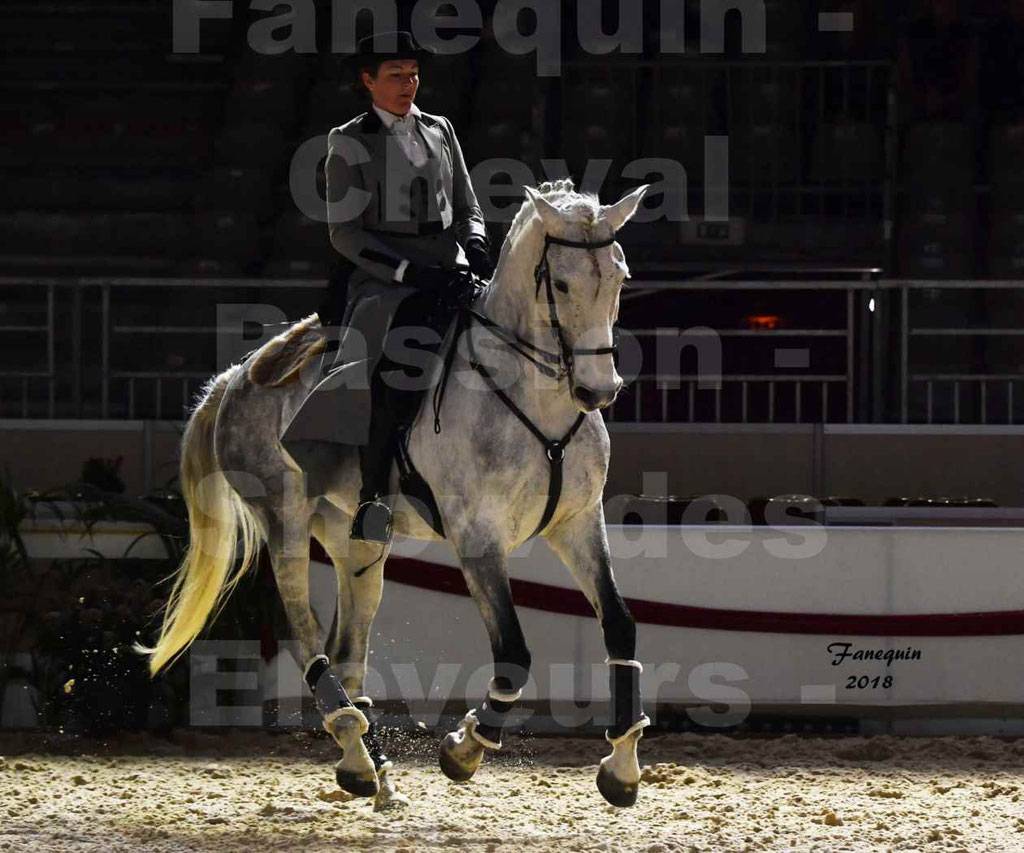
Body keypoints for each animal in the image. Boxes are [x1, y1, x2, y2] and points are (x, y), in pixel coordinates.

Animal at [137, 178, 652, 811]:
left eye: (620, 276)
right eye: (559, 284)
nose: (598, 390)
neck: (535, 398)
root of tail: (236, 377)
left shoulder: (577, 524)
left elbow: (619, 624)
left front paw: (622, 768)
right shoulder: (476, 538)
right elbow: (513, 650)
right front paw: (464, 749)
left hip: (354, 540)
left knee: (348, 646)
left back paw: (369, 768)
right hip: (284, 519)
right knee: (306, 635)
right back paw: (354, 745)